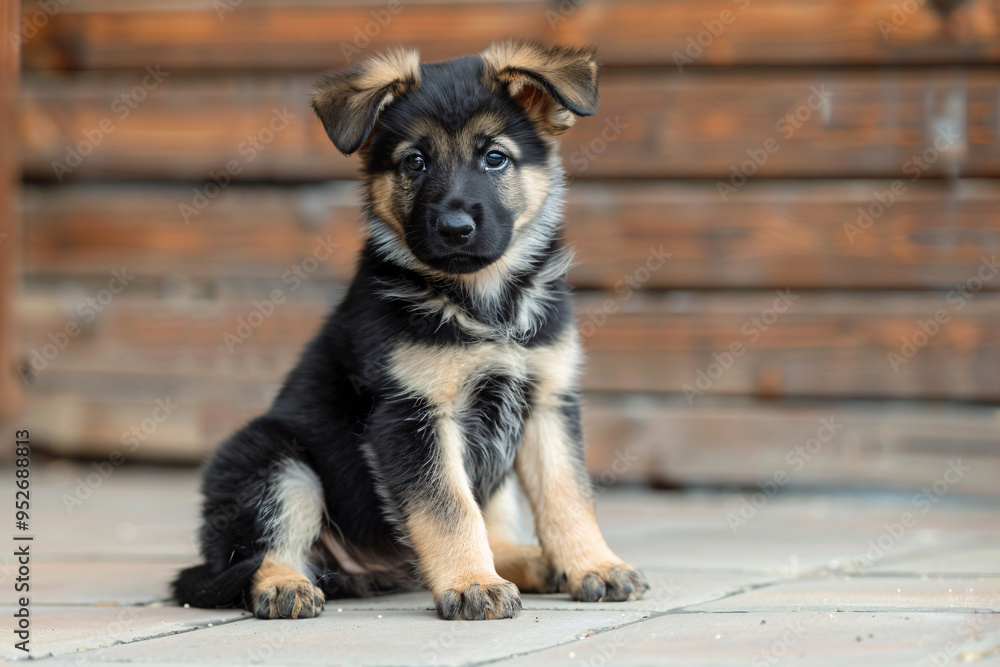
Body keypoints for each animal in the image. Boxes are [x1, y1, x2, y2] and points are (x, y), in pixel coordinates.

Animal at [173, 37, 648, 620]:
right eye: (415, 162)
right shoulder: (412, 415)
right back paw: (284, 585)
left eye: (495, 157)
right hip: (273, 459)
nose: (455, 228)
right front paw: (471, 583)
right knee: (267, 548)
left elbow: (568, 495)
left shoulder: (548, 401)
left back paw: (524, 560)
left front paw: (594, 566)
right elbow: (449, 508)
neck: (484, 303)